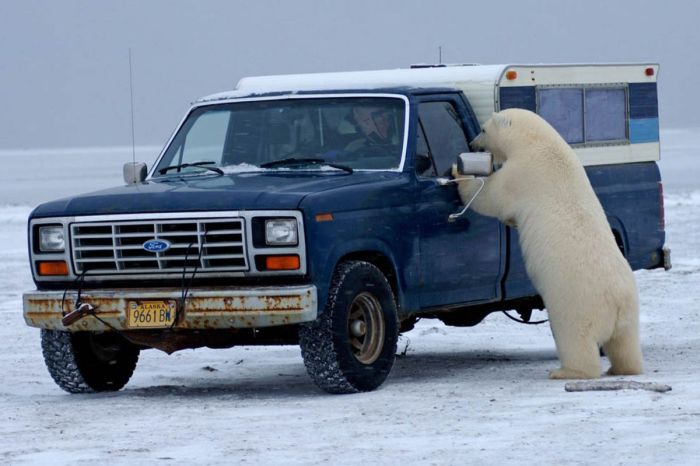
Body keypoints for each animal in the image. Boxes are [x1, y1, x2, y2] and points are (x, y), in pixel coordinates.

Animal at [456, 108, 644, 378]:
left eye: (483, 129)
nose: (472, 144)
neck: (539, 142)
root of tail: (617, 303)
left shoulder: (522, 173)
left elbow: (491, 195)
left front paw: (458, 173)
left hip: (577, 304)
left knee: (576, 339)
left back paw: (567, 372)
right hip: (630, 312)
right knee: (625, 344)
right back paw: (622, 369)